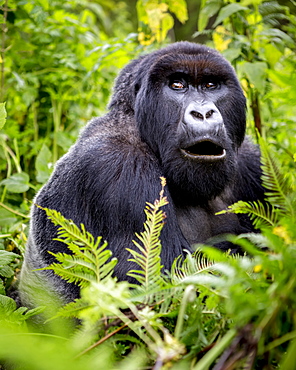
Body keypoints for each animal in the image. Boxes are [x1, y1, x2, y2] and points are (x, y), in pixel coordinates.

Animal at [19, 41, 264, 306]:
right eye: (177, 85)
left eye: (210, 85)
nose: (204, 113)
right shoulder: (118, 166)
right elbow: (161, 284)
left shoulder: (251, 162)